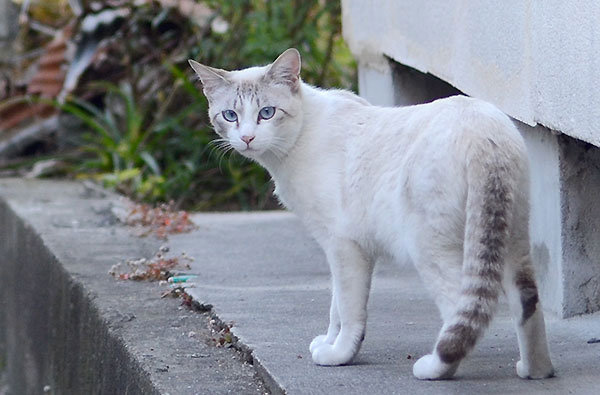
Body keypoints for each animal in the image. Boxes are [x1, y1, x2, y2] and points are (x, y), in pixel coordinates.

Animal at [190, 48, 556, 380]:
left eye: (267, 113)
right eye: (230, 116)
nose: (247, 138)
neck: (299, 137)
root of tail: (483, 134)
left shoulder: (343, 246)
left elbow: (348, 309)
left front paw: (338, 354)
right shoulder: (342, 249)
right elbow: (336, 305)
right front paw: (328, 342)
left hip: (433, 248)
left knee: (462, 310)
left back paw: (435, 369)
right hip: (511, 238)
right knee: (527, 303)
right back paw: (535, 371)